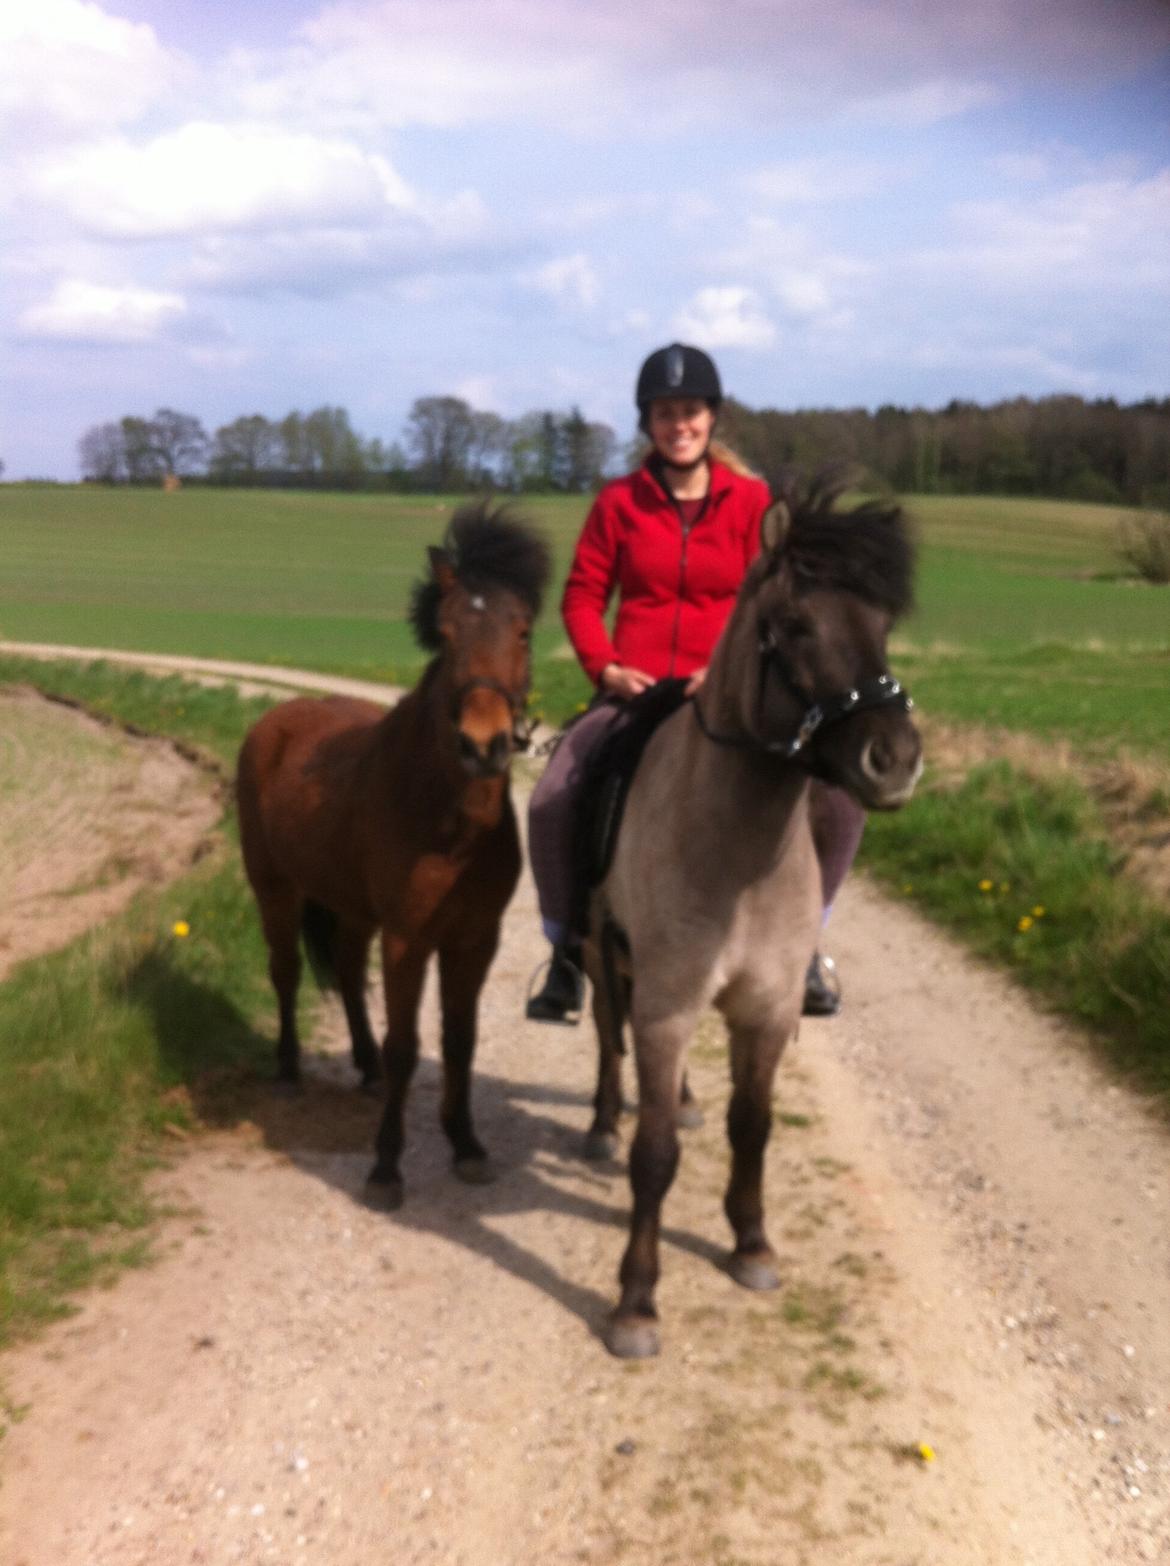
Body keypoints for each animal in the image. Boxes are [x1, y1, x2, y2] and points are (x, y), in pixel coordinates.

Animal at [238, 504, 554, 1208]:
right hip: (275, 889)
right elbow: (408, 1043)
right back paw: (288, 1069)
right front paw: (386, 1165)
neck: (449, 820)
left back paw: (365, 1066)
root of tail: (273, 723)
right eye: (446, 632)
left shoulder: (475, 937)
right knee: (285, 971)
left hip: (353, 910)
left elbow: (460, 1040)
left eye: (522, 631)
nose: (484, 745)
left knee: (349, 971)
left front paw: (466, 1145)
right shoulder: (409, 936)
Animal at [585, 469, 927, 1353]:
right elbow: (653, 1155)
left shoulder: (767, 1010)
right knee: (606, 1038)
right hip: (601, 959)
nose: (896, 759)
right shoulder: (666, 1009)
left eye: (883, 627)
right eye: (795, 625)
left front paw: (751, 1243)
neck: (738, 849)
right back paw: (600, 1123)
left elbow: (754, 1125)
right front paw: (636, 1301)